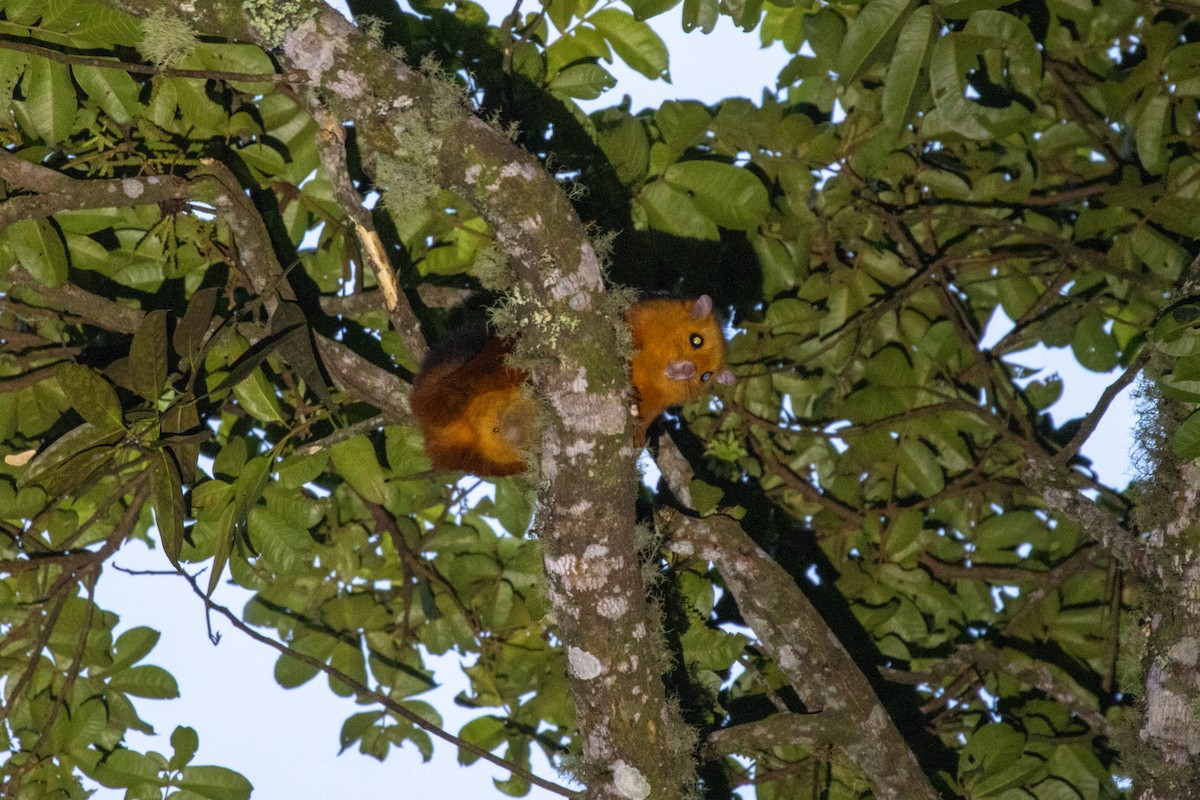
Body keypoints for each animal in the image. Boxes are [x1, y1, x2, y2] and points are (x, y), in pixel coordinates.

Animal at [411, 295, 735, 476]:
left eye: (706, 376)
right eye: (696, 340)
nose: (688, 370)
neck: (649, 369)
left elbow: (641, 427)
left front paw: (636, 432)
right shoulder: (632, 319)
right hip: (488, 363)